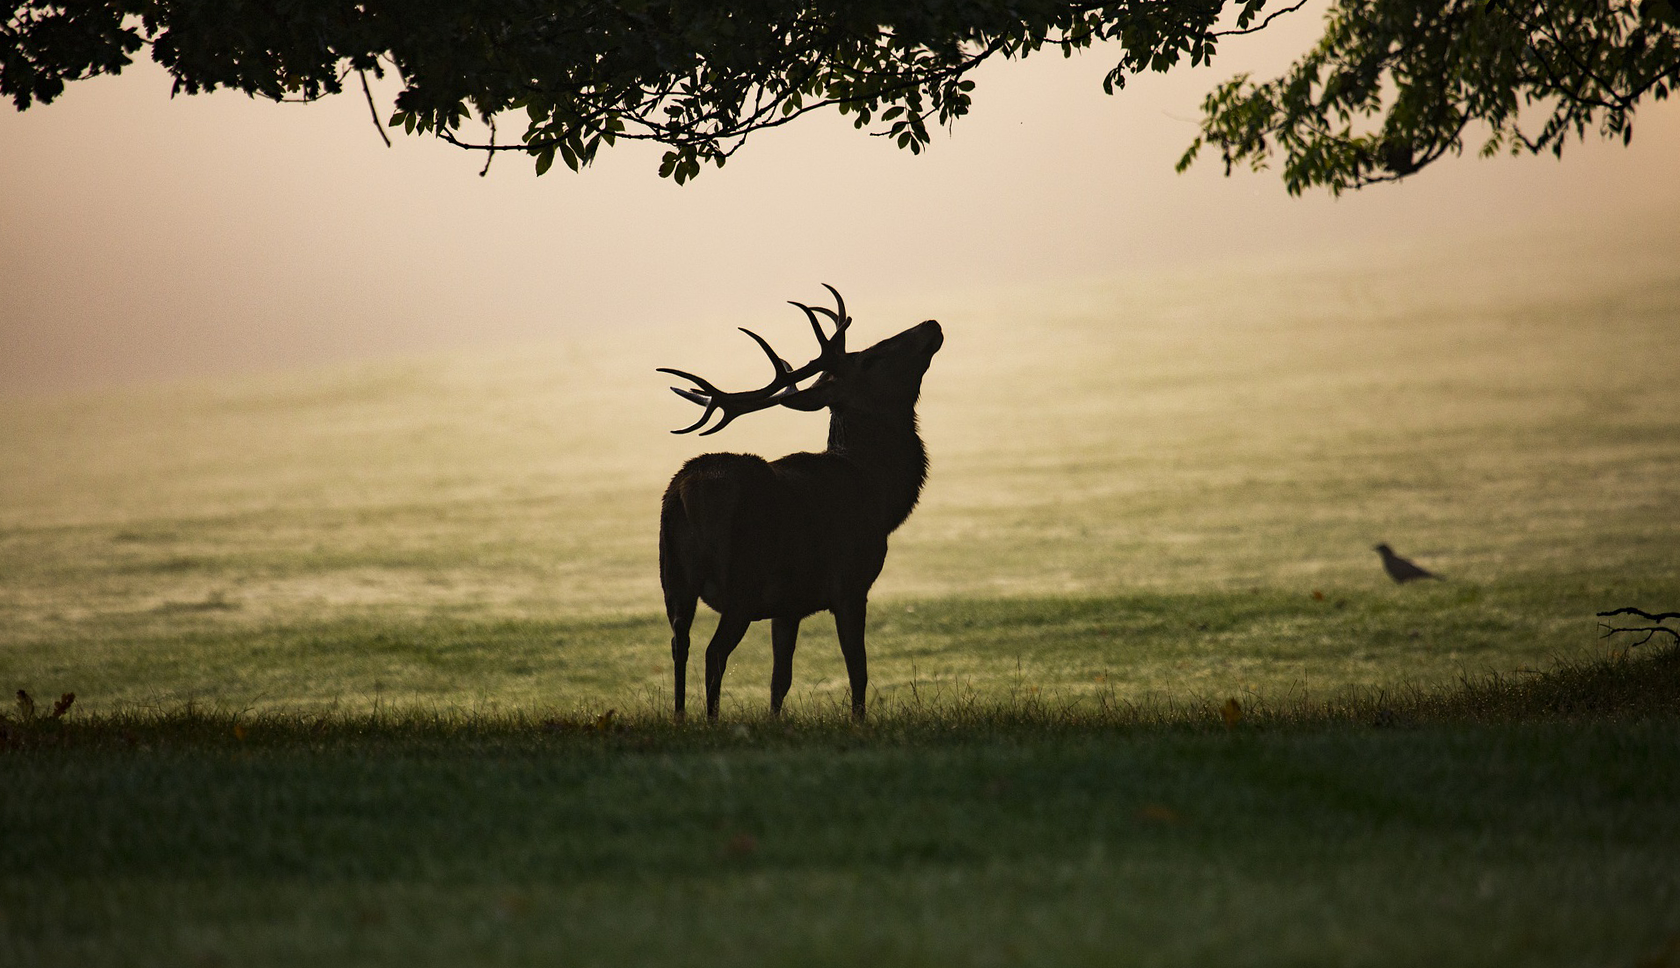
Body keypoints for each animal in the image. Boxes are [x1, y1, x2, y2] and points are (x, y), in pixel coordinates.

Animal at [655, 287, 947, 719]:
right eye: (870, 358)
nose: (931, 324)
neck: (879, 494)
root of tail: (685, 492)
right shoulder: (851, 583)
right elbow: (858, 669)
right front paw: (858, 721)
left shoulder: (787, 606)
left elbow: (780, 680)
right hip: (741, 582)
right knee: (713, 653)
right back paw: (710, 720)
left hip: (674, 580)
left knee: (680, 645)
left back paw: (679, 718)